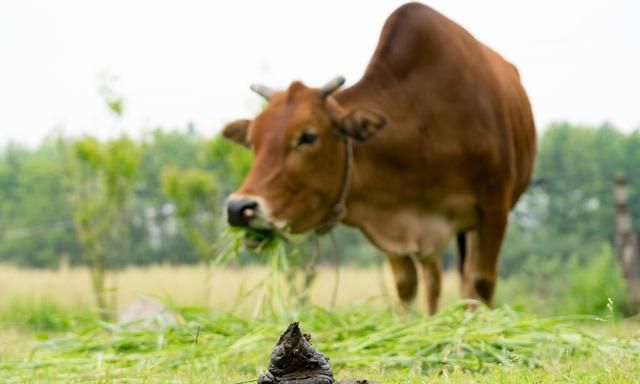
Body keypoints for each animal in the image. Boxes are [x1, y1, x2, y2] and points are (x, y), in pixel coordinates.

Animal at [220, 3, 536, 314]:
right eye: (253, 140)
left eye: (308, 137)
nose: (239, 208)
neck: (423, 131)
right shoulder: (390, 216)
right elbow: (406, 284)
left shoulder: (494, 210)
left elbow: (481, 283)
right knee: (432, 277)